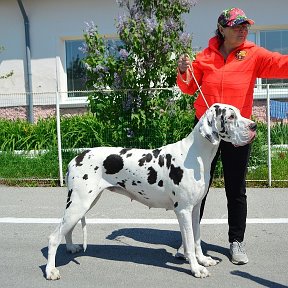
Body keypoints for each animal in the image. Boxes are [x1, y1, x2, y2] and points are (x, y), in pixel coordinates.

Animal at [45, 103, 256, 280]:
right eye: (231, 116)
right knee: (54, 237)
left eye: (239, 112)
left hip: (83, 203)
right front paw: (196, 268)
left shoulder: (195, 209)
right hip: (79, 203)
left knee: (67, 229)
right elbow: (188, 243)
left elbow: (196, 239)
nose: (254, 126)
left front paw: (203, 260)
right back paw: (50, 271)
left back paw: (71, 247)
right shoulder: (184, 210)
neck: (196, 154)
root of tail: (75, 158)